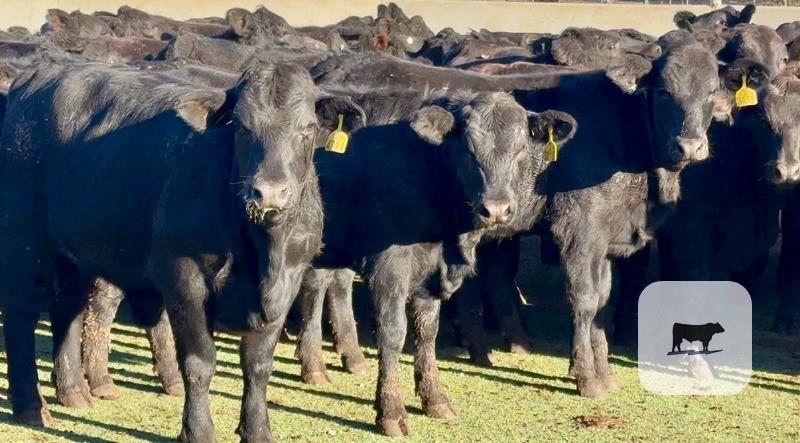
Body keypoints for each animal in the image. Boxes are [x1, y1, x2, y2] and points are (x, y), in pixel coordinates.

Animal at [0, 59, 363, 443]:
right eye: (241, 128)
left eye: (306, 128)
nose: (268, 193)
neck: (264, 254)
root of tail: (40, 73)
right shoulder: (185, 279)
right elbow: (199, 361)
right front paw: (198, 430)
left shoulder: (288, 283)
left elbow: (258, 363)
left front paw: (257, 430)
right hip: (22, 242)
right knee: (21, 314)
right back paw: (31, 407)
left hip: (75, 253)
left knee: (67, 311)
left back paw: (73, 392)